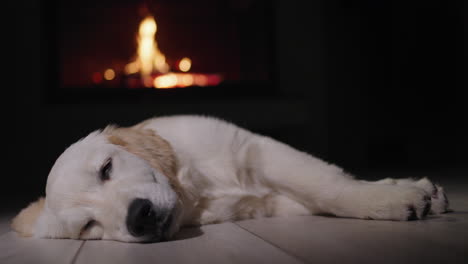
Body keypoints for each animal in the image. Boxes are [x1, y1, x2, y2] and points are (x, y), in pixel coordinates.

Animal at [11, 114, 450, 242]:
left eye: (106, 168)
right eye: (89, 227)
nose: (139, 217)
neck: (197, 190)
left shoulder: (257, 150)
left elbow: (327, 185)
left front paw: (389, 201)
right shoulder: (275, 203)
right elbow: (319, 192)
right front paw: (390, 199)